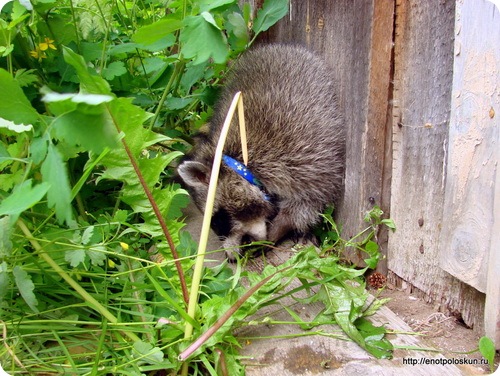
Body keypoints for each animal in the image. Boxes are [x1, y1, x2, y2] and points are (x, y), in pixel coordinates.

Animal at [178, 44, 346, 260]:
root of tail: (275, 47)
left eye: (217, 220)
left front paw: (281, 226)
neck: (239, 161)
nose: (232, 257)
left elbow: (309, 201)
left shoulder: (305, 154)